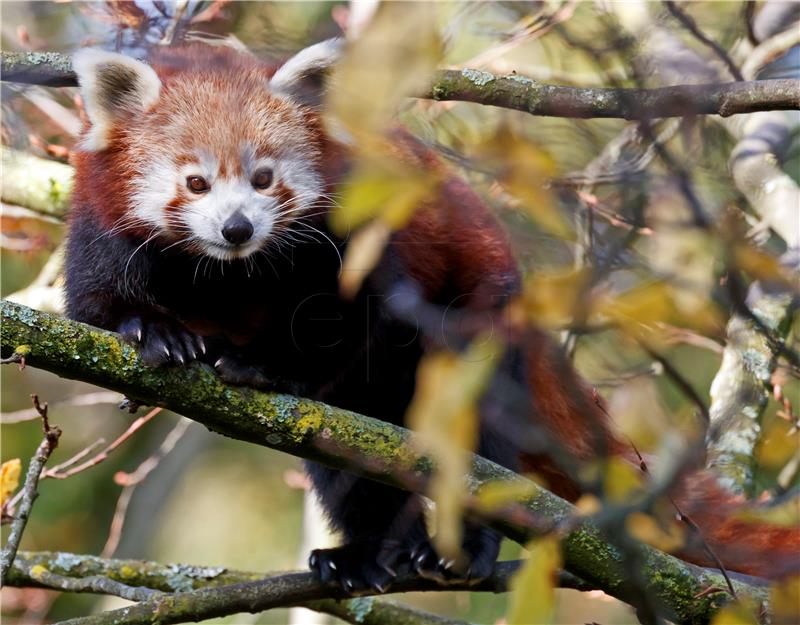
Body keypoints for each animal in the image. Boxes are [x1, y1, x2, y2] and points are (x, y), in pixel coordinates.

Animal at [65, 40, 796, 596]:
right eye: (196, 183)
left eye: (265, 177)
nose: (238, 228)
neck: (226, 274)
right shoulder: (104, 226)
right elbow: (94, 304)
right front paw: (156, 332)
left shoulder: (358, 236)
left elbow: (345, 320)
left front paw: (263, 363)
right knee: (350, 467)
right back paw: (360, 554)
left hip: (479, 314)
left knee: (471, 439)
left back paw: (461, 547)